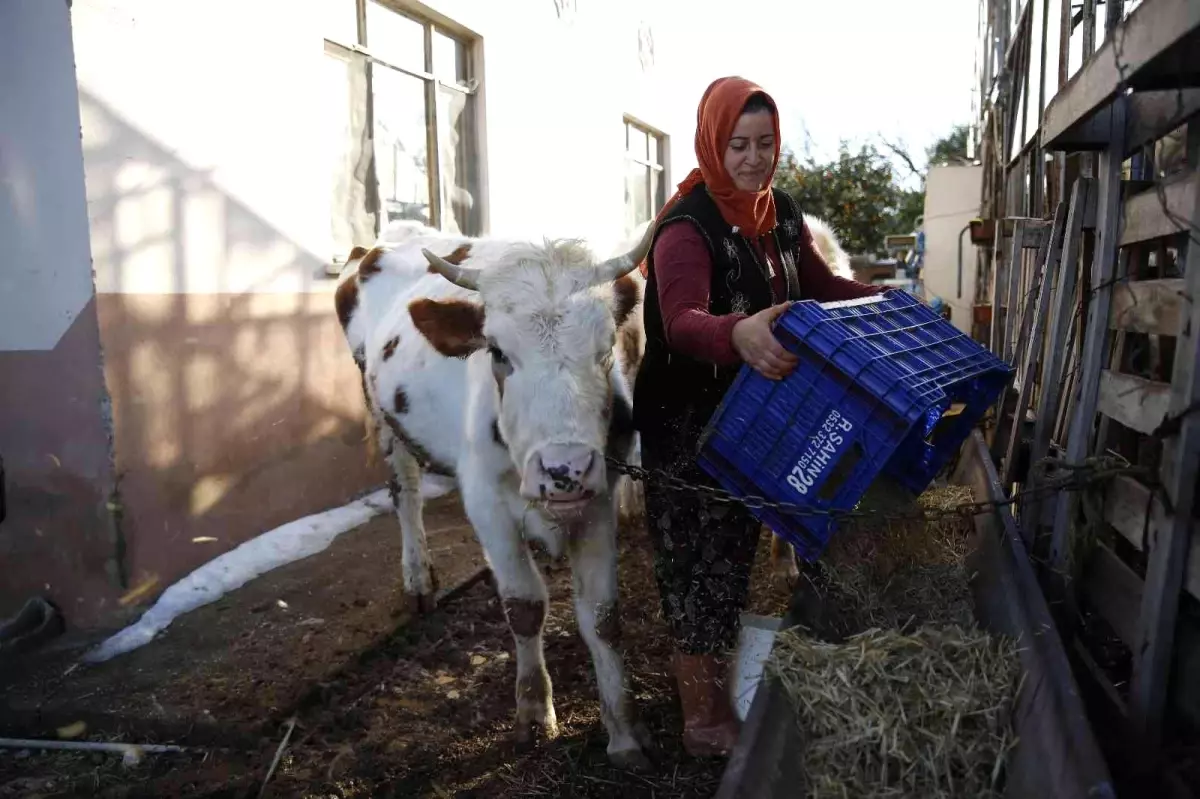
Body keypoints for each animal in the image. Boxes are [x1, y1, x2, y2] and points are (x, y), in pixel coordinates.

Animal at [333, 219, 657, 767]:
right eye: (499, 352)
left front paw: (624, 731)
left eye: (606, 349)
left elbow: (602, 615)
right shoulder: (487, 504)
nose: (564, 468)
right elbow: (524, 606)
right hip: (380, 414)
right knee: (405, 492)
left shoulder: (596, 501)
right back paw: (418, 577)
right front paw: (534, 712)